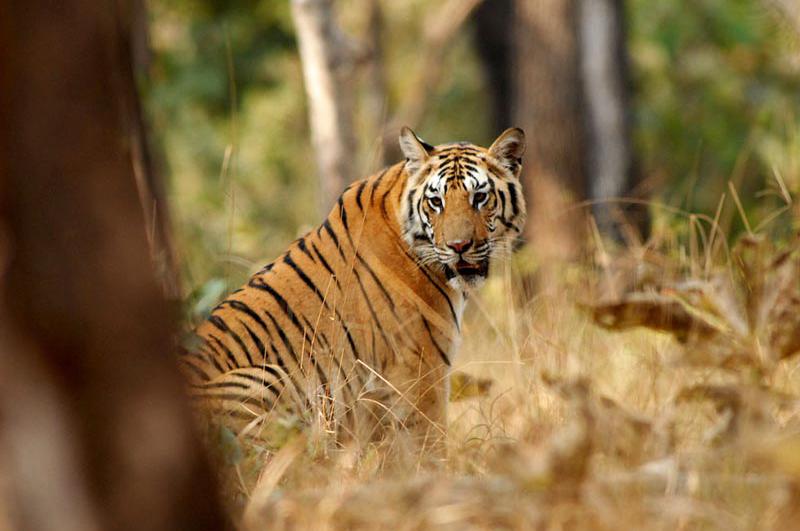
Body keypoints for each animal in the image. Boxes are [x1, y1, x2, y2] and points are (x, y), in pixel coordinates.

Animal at [184, 128, 528, 448]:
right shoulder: (421, 367)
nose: (459, 246)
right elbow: (429, 440)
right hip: (267, 378)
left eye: (479, 198)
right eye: (436, 202)